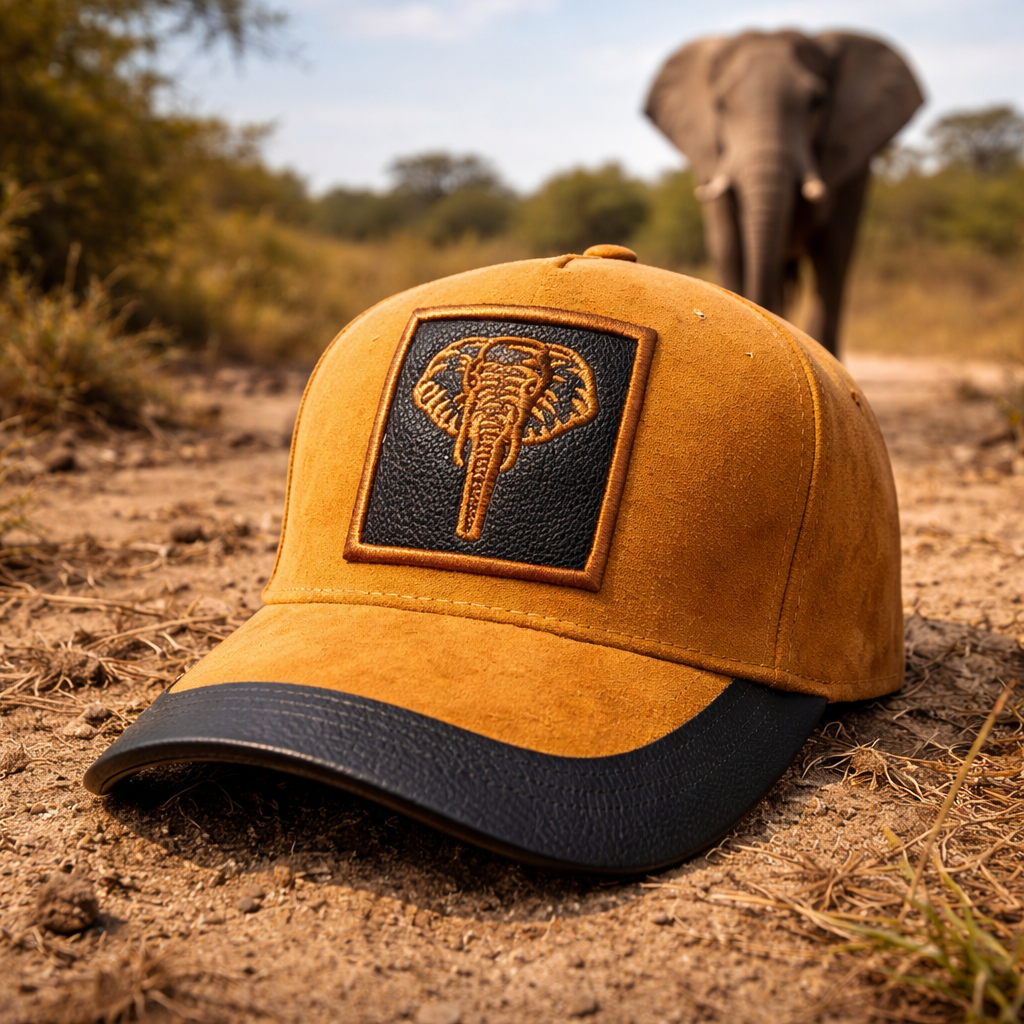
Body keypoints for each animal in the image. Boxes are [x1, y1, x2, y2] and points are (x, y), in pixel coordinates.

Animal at [645, 30, 924, 356]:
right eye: (721, 105)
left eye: (816, 102)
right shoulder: (710, 157)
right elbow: (728, 246)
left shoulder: (853, 164)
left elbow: (833, 253)